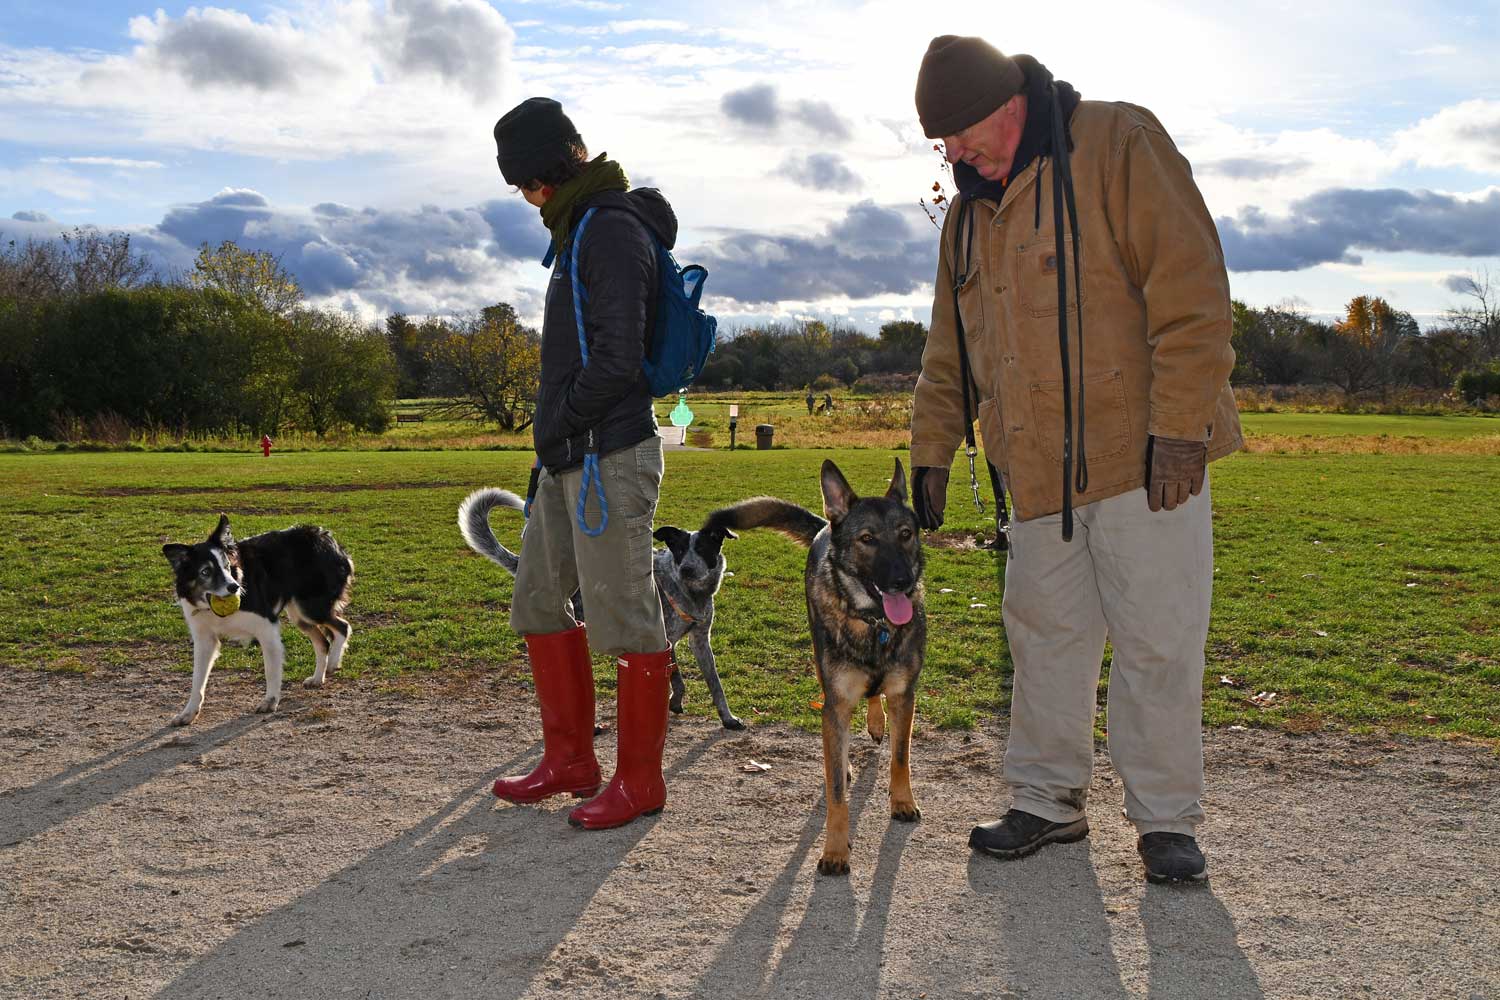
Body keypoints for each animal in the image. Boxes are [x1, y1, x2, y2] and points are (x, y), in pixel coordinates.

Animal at [159, 515, 354, 728]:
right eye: (205, 572)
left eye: (227, 566)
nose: (234, 587)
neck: (212, 607)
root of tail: (326, 537)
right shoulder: (204, 640)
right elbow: (197, 680)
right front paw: (188, 713)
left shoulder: (267, 627)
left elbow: (271, 670)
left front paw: (270, 701)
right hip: (299, 615)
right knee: (323, 642)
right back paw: (318, 677)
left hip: (310, 609)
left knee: (343, 627)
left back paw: (333, 662)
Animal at [450, 491, 744, 728]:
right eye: (680, 550)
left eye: (703, 548)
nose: (687, 569)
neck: (691, 593)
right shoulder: (665, 638)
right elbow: (677, 678)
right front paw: (674, 701)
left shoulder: (701, 640)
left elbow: (715, 684)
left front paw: (728, 718)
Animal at [702, 461, 924, 875]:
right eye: (867, 538)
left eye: (905, 534)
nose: (902, 581)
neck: (874, 624)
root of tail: (826, 525)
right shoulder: (836, 705)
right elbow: (836, 792)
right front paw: (835, 850)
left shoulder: (905, 695)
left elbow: (901, 757)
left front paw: (902, 801)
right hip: (823, 671)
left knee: (874, 699)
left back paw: (875, 721)